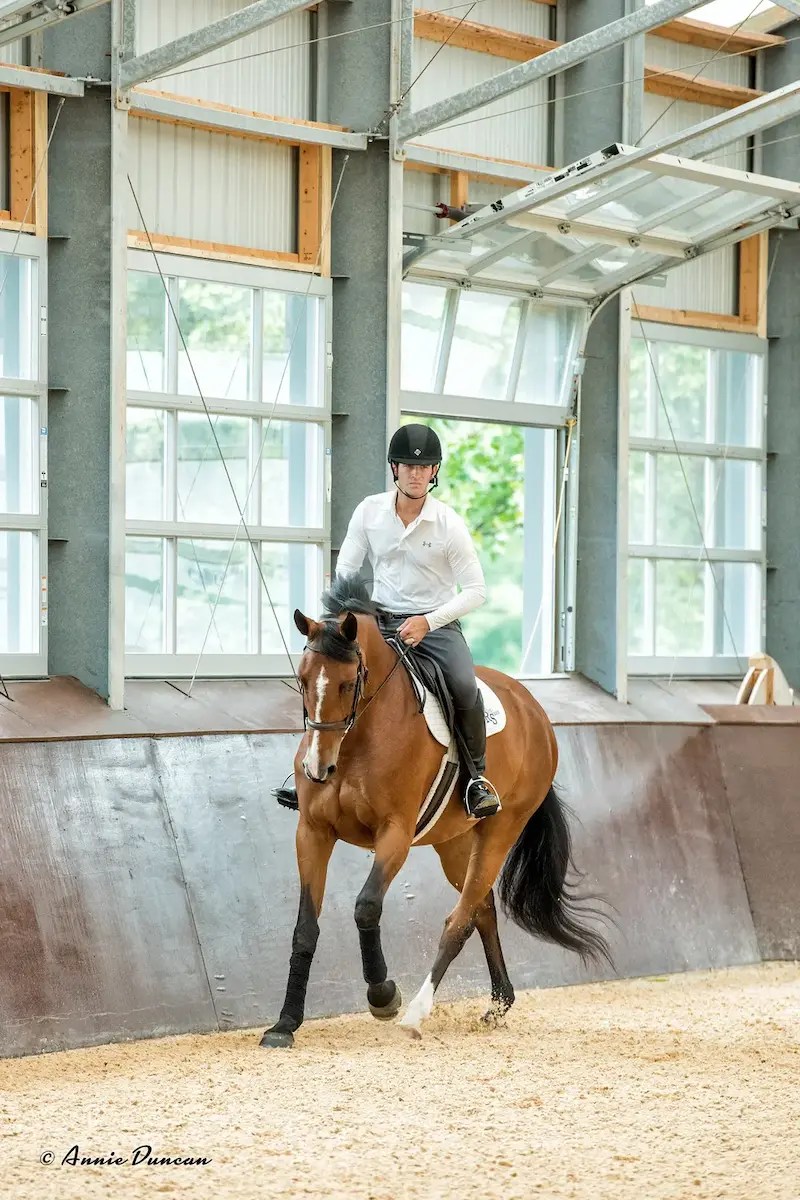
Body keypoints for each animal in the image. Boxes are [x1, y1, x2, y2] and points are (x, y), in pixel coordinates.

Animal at [261, 575, 612, 1048]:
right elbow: (304, 927)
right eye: (302, 679)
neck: (356, 743)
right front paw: (285, 1023)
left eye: (348, 683)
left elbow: (366, 906)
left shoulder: (395, 833)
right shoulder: (313, 831)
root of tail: (534, 710)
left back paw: (416, 1012)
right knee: (481, 908)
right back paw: (499, 1004)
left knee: (460, 919)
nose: (319, 768)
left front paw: (383, 995)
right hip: (454, 843)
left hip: (500, 831)